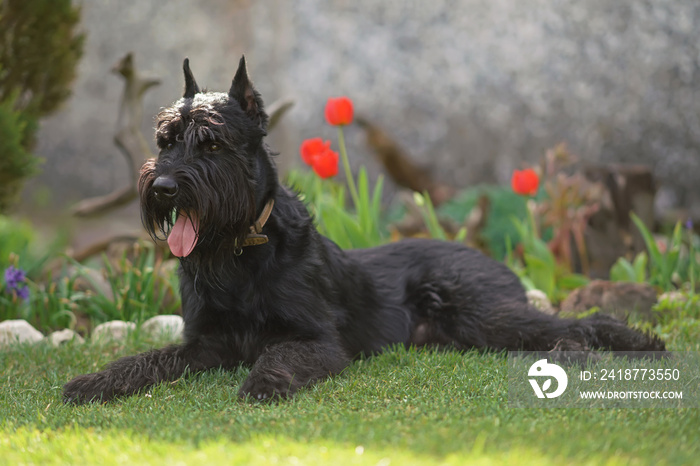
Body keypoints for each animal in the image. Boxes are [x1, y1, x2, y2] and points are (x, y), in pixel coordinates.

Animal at [63, 56, 664, 402]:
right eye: (165, 140)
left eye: (211, 143)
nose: (163, 187)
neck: (243, 253)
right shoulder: (203, 343)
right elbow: (144, 359)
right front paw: (91, 382)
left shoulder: (318, 341)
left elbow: (279, 355)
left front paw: (264, 382)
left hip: (483, 314)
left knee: (580, 322)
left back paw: (618, 345)